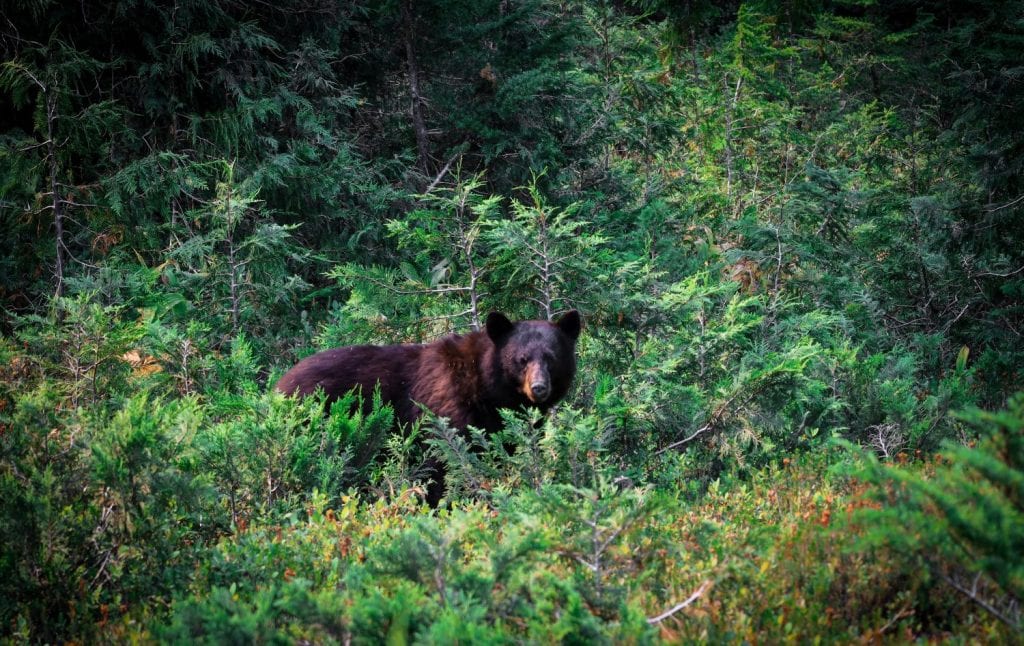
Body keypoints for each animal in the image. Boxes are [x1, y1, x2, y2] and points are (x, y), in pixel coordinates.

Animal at [275, 310, 581, 505]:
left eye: (551, 358)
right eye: (521, 359)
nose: (539, 388)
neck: (484, 388)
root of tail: (279, 386)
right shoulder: (445, 409)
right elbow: (442, 465)